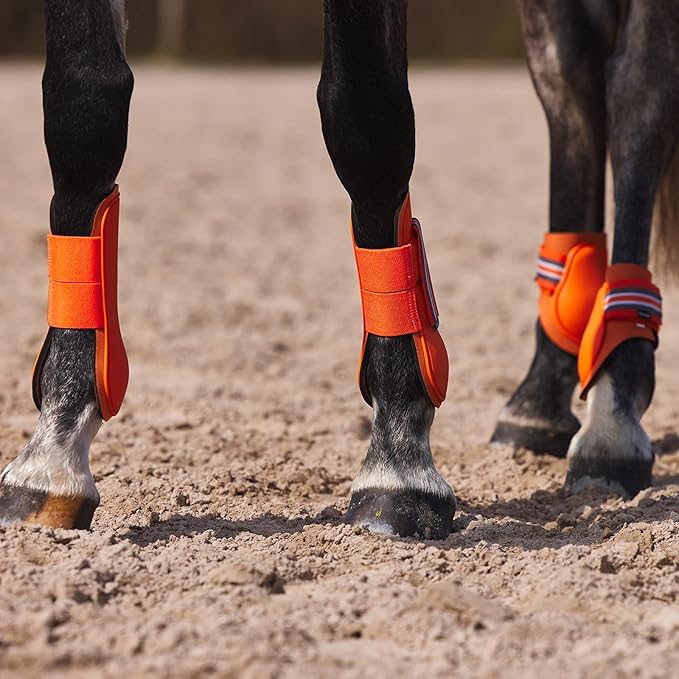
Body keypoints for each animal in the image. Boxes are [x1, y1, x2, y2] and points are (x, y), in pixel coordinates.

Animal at [0, 0, 677, 540]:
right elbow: (82, 106)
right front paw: (53, 447)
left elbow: (365, 112)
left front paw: (399, 460)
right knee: (571, 74)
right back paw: (540, 396)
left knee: (637, 90)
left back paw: (614, 411)